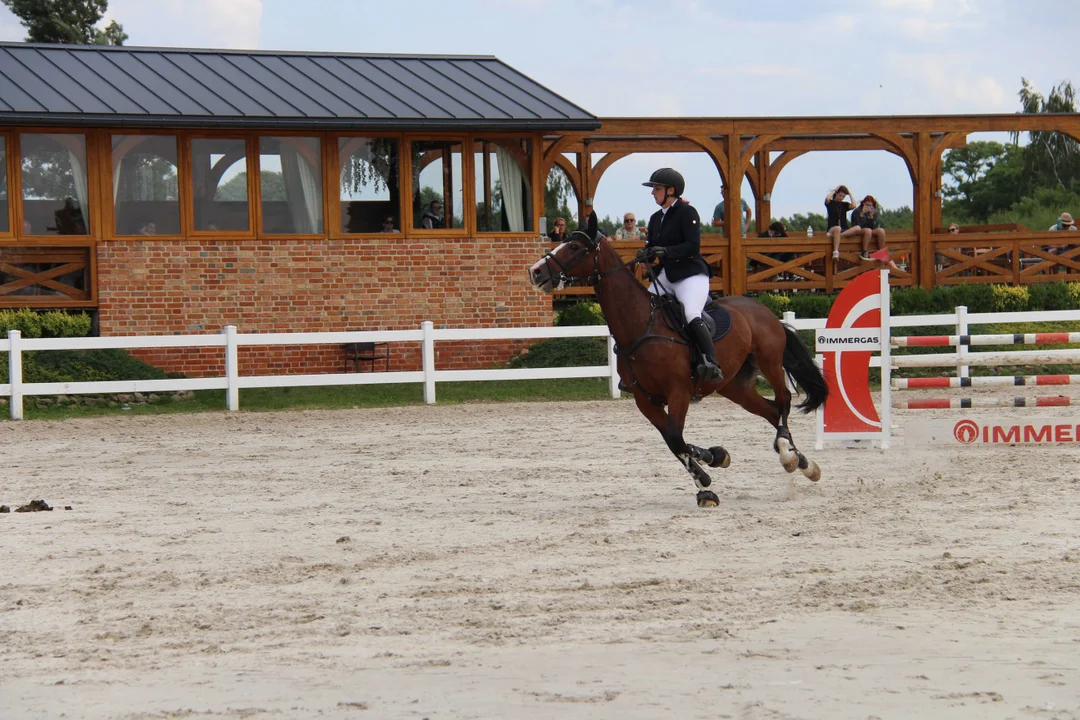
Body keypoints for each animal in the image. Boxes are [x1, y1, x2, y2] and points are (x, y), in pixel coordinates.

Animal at [529, 216, 825, 509]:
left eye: (575, 247)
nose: (536, 272)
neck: (640, 325)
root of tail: (763, 310)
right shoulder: (645, 400)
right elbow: (675, 441)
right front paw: (713, 461)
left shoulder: (678, 392)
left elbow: (675, 437)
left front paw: (706, 484)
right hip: (734, 386)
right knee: (771, 411)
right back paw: (803, 462)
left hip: (769, 361)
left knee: (784, 400)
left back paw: (788, 455)